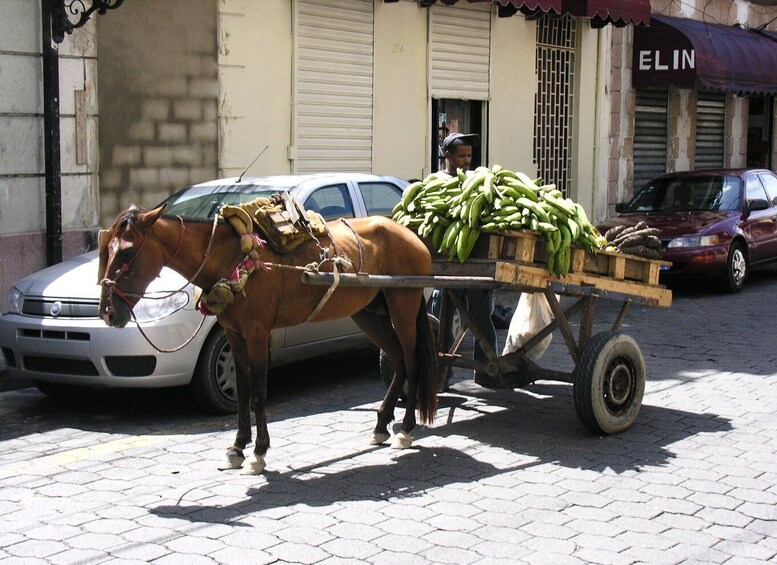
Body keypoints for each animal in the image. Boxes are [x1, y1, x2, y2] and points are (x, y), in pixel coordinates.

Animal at [97, 205, 436, 474]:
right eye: (106, 250)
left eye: (127, 251)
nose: (107, 312)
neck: (229, 258)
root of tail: (411, 236)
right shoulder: (234, 335)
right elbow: (243, 390)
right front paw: (237, 448)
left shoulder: (257, 332)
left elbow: (259, 391)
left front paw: (258, 453)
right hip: (368, 313)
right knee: (398, 360)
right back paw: (381, 426)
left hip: (403, 305)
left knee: (412, 361)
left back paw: (406, 430)